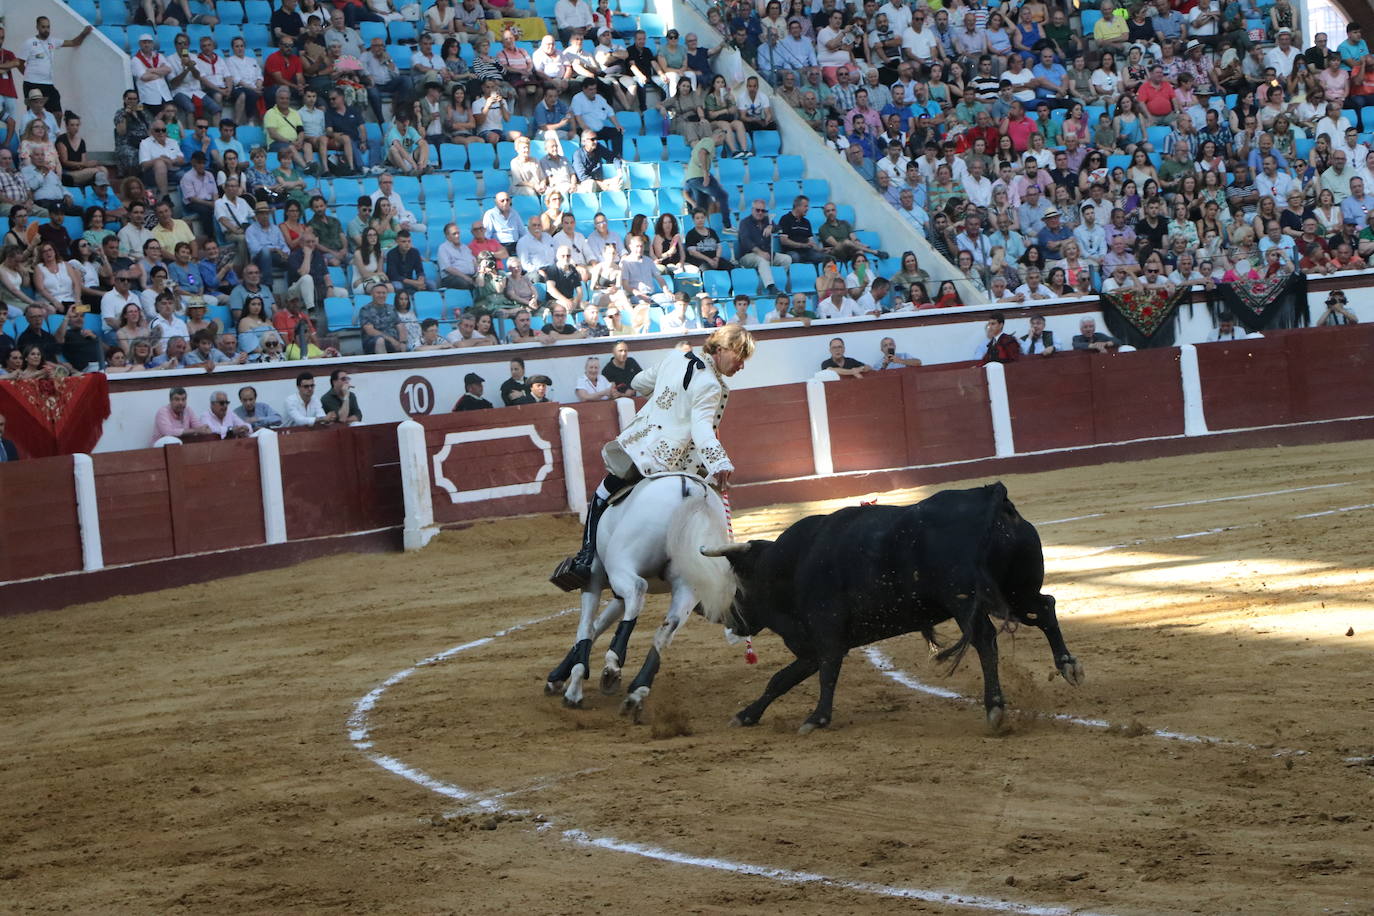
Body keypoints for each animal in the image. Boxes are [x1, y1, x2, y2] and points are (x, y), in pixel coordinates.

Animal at [544, 477, 741, 719]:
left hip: (621, 565)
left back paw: (613, 666)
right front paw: (558, 677)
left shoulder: (593, 581)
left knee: (637, 590)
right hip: (688, 586)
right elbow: (597, 626)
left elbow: (586, 628)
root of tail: (692, 489)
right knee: (667, 627)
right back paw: (636, 691)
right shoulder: (617, 597)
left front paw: (573, 689)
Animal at [708, 483, 1082, 736]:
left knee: (985, 640)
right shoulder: (811, 646)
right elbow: (780, 679)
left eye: (735, 585)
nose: (722, 618)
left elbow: (826, 674)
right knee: (1045, 607)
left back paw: (994, 707)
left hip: (967, 603)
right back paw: (1068, 666)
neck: (790, 565)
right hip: (1016, 592)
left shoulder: (827, 636)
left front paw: (817, 718)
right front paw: (747, 715)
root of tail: (989, 496)